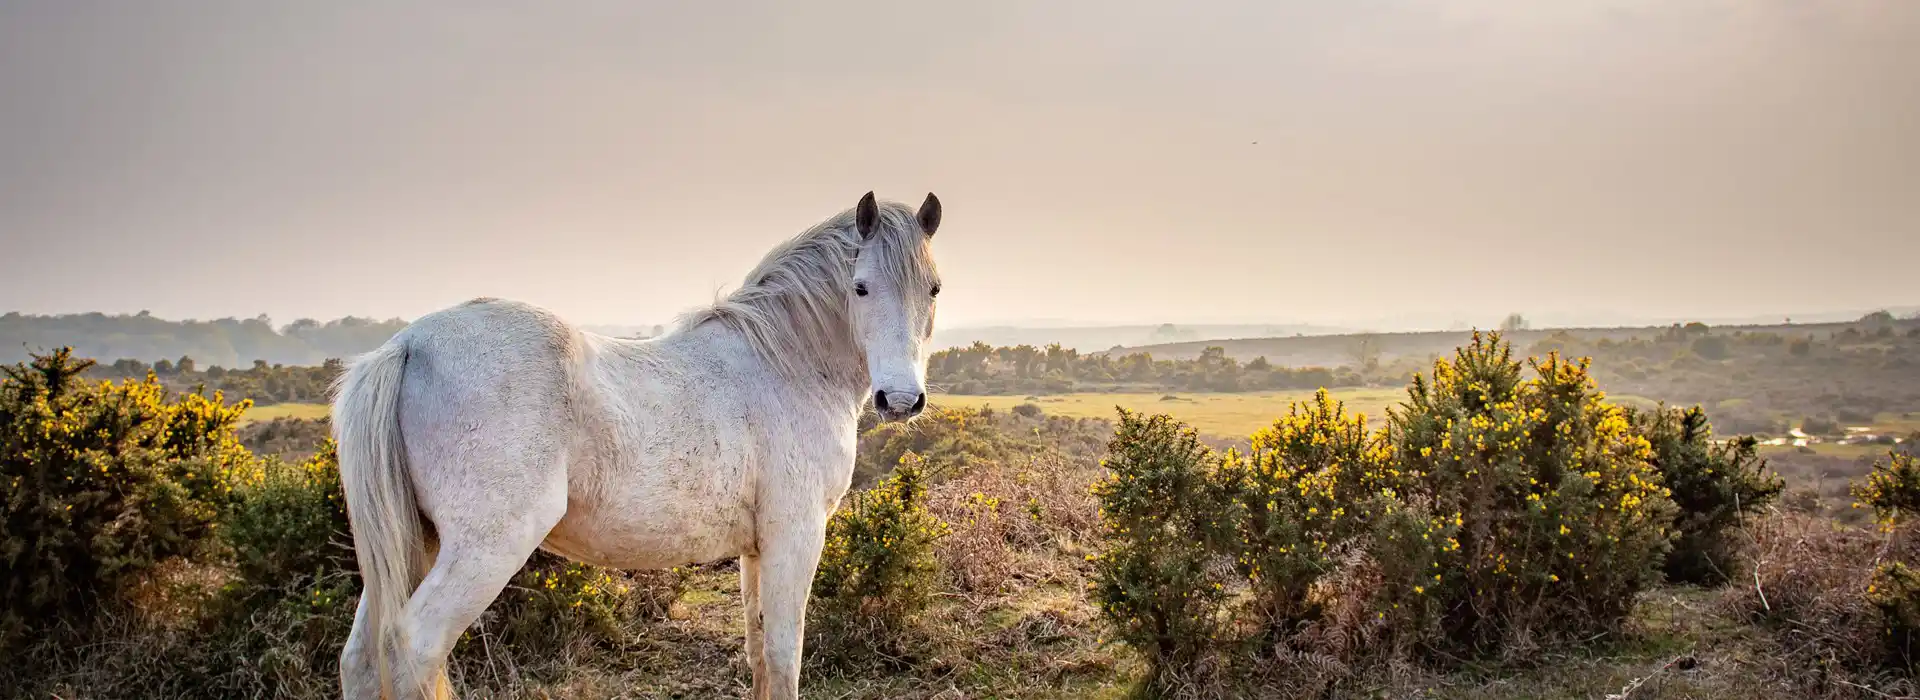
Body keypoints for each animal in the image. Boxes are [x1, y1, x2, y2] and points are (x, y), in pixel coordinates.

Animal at [339, 190, 952, 698]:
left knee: (362, 660)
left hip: (416, 542)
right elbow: (783, 658)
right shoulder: (795, 536)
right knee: (413, 648)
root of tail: (407, 345)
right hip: (483, 549)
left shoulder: (757, 549)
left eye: (933, 289)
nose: (900, 400)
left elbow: (758, 653)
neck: (785, 363)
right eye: (861, 287)